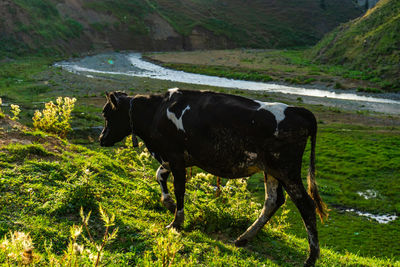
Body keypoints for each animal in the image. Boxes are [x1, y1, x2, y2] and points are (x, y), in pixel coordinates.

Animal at [98, 89, 326, 266]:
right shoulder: (173, 159)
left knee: (306, 204)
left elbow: (179, 188)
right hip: (271, 170)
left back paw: (311, 258)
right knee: (273, 200)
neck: (156, 111)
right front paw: (168, 203)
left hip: (287, 170)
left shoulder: (175, 157)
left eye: (106, 114)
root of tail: (297, 110)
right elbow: (160, 176)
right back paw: (244, 238)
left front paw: (176, 223)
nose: (101, 139)